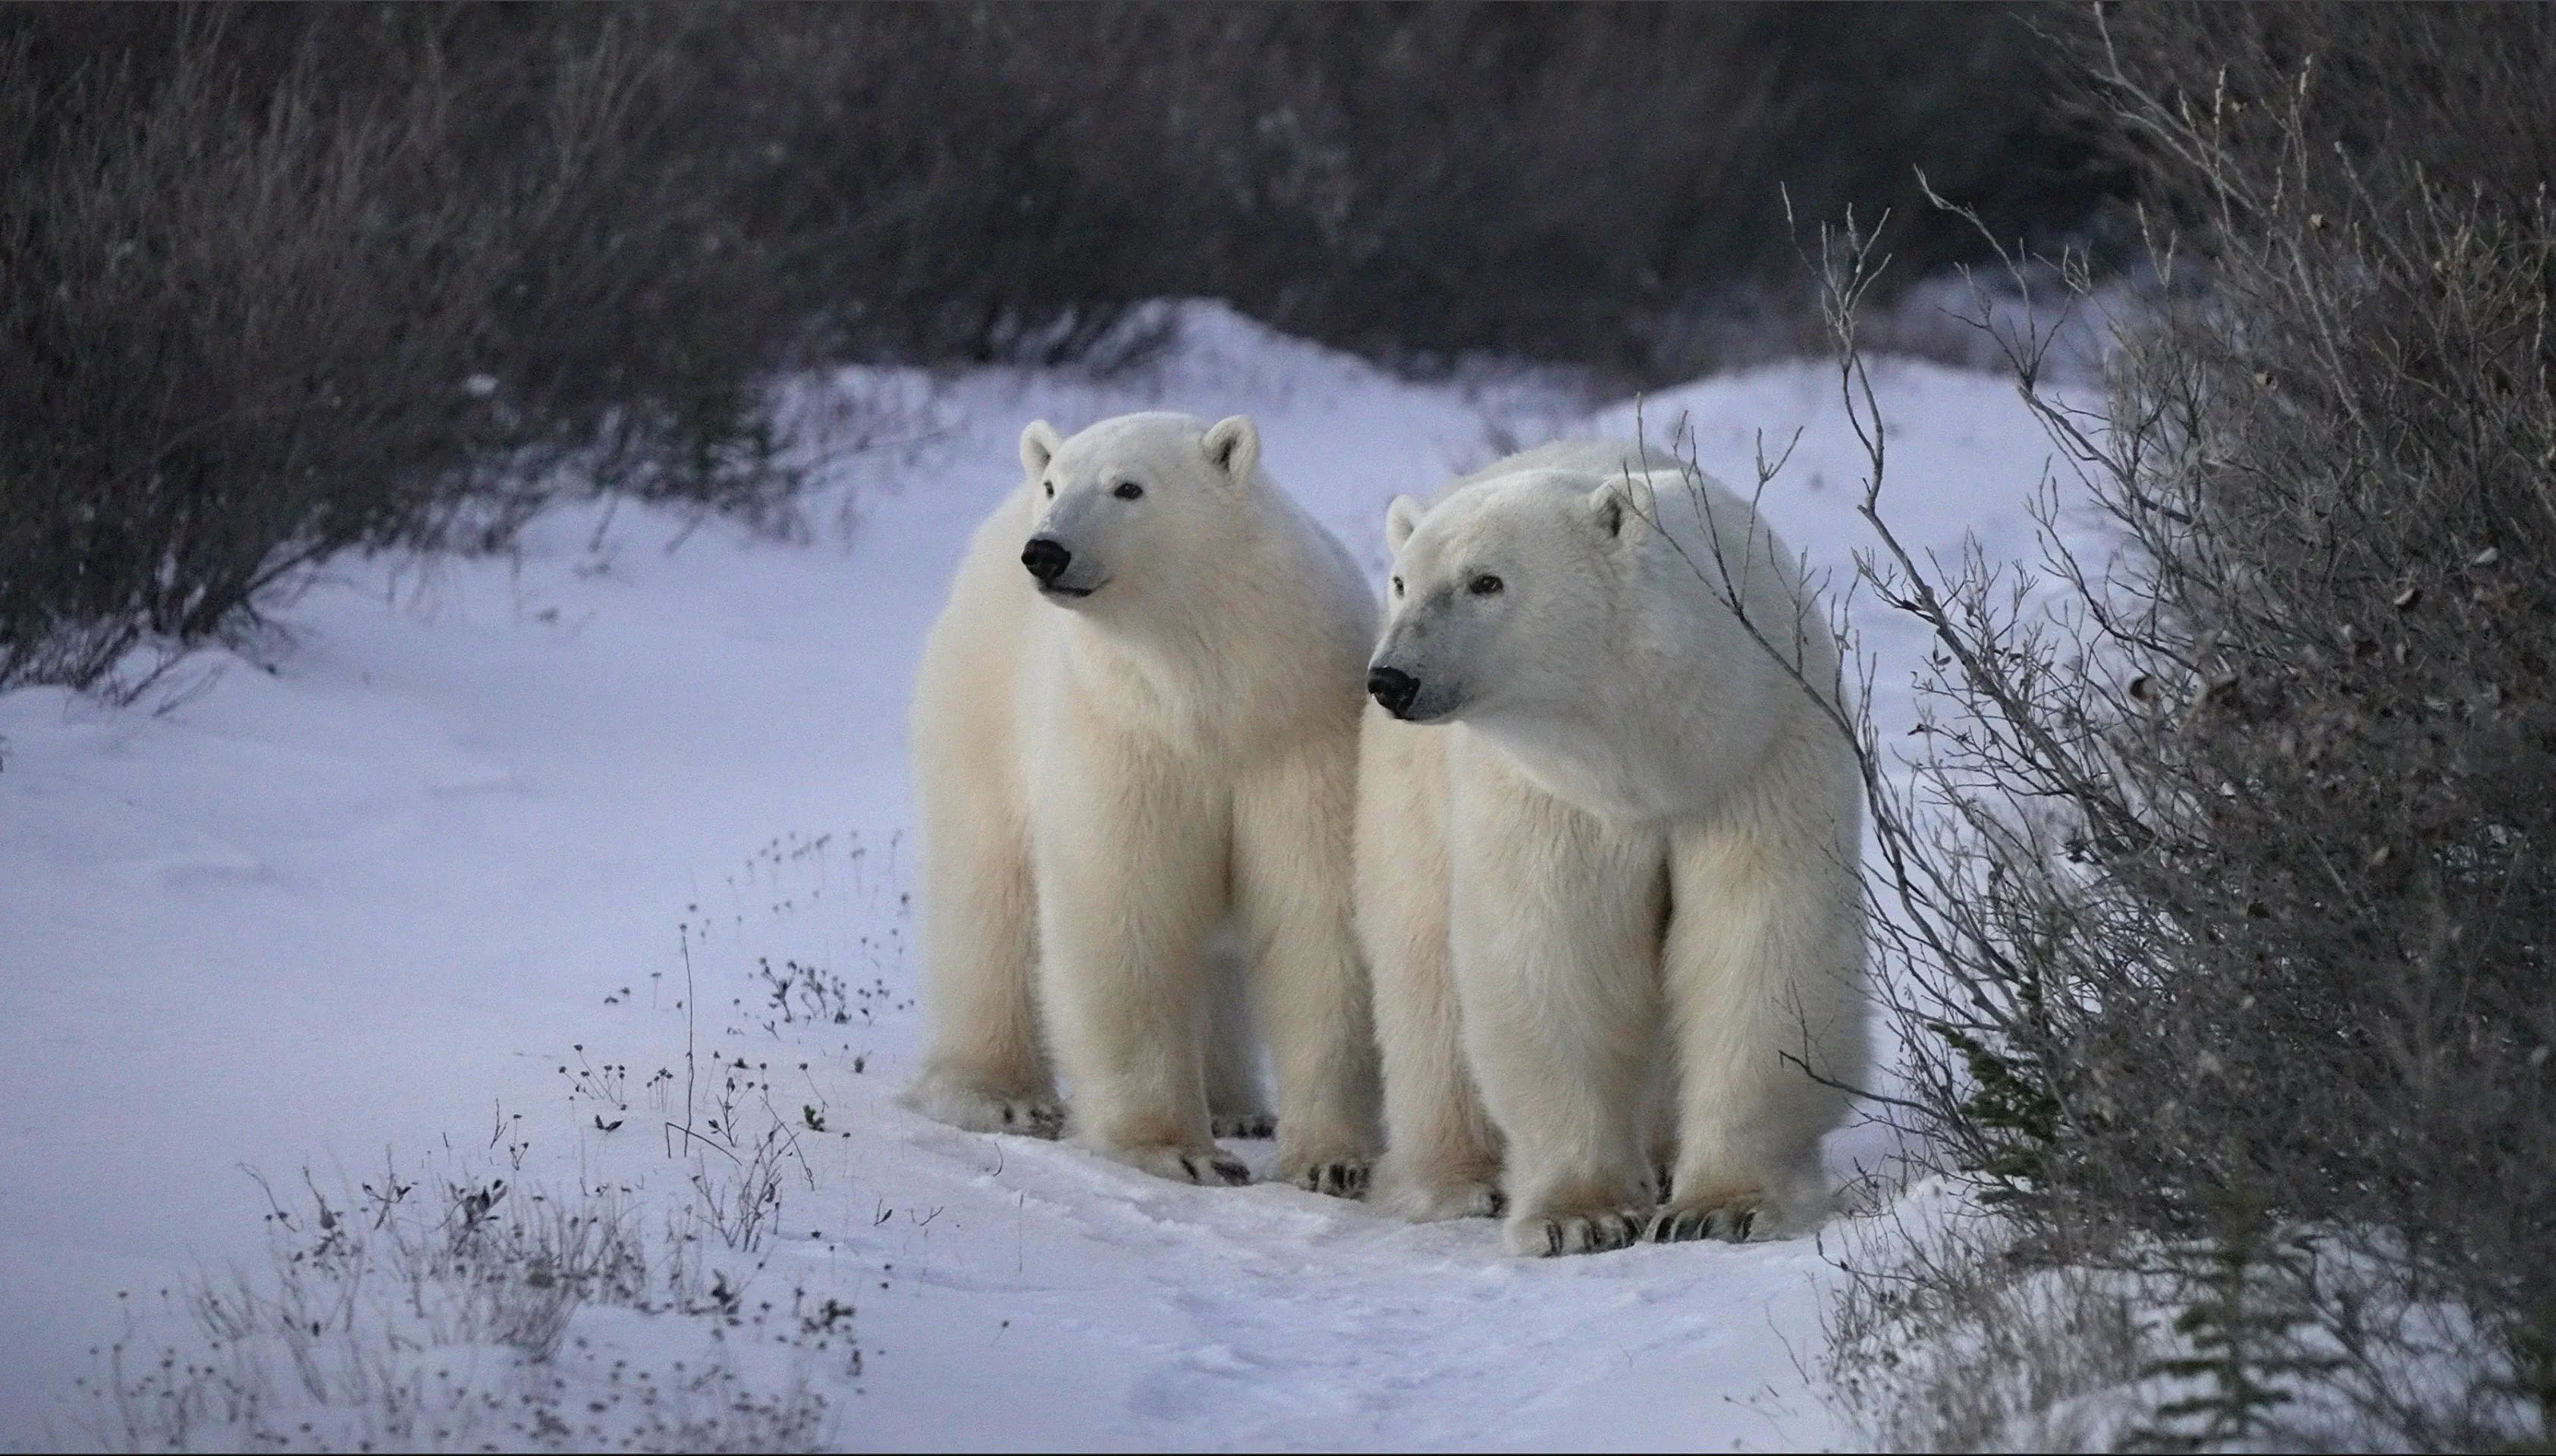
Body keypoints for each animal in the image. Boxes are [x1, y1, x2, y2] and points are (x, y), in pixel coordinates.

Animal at [899, 411, 1381, 1194]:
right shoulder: (1125, 731)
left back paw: (1237, 1106)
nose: (1046, 551)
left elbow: (1317, 913)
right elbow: (1128, 909)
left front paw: (1336, 1161)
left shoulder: (1304, 732)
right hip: (981, 706)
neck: (1212, 690)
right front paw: (1176, 1151)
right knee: (987, 896)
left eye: (1128, 487)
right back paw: (999, 1096)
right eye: (1056, 483)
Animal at [1356, 440, 1868, 1255]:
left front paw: (1723, 1205)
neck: (1656, 753)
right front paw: (1581, 1217)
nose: (1392, 679)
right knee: (1420, 955)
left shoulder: (1762, 755)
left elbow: (1760, 940)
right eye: (1402, 580)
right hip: (1409, 791)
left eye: (1486, 580)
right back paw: (1453, 1180)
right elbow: (1557, 955)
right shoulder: (1553, 796)